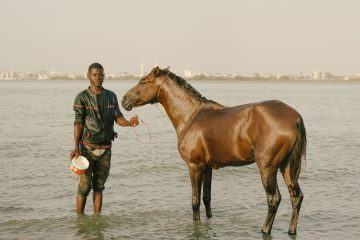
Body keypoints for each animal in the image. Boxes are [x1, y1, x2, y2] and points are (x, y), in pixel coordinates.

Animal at [121, 66, 306, 235]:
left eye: (143, 82)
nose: (124, 100)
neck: (191, 116)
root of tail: (295, 117)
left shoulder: (194, 166)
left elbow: (195, 201)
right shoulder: (207, 167)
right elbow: (206, 198)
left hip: (267, 168)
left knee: (274, 199)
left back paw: (265, 230)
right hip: (286, 166)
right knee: (296, 196)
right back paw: (291, 231)